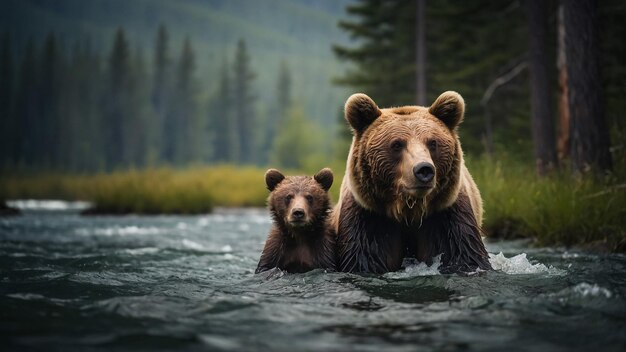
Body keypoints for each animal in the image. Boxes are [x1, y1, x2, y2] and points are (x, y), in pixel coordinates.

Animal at [334, 91, 490, 276]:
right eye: (397, 144)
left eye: (432, 142)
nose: (424, 170)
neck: (409, 211)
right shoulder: (368, 218)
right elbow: (363, 258)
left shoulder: (447, 216)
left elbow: (462, 255)